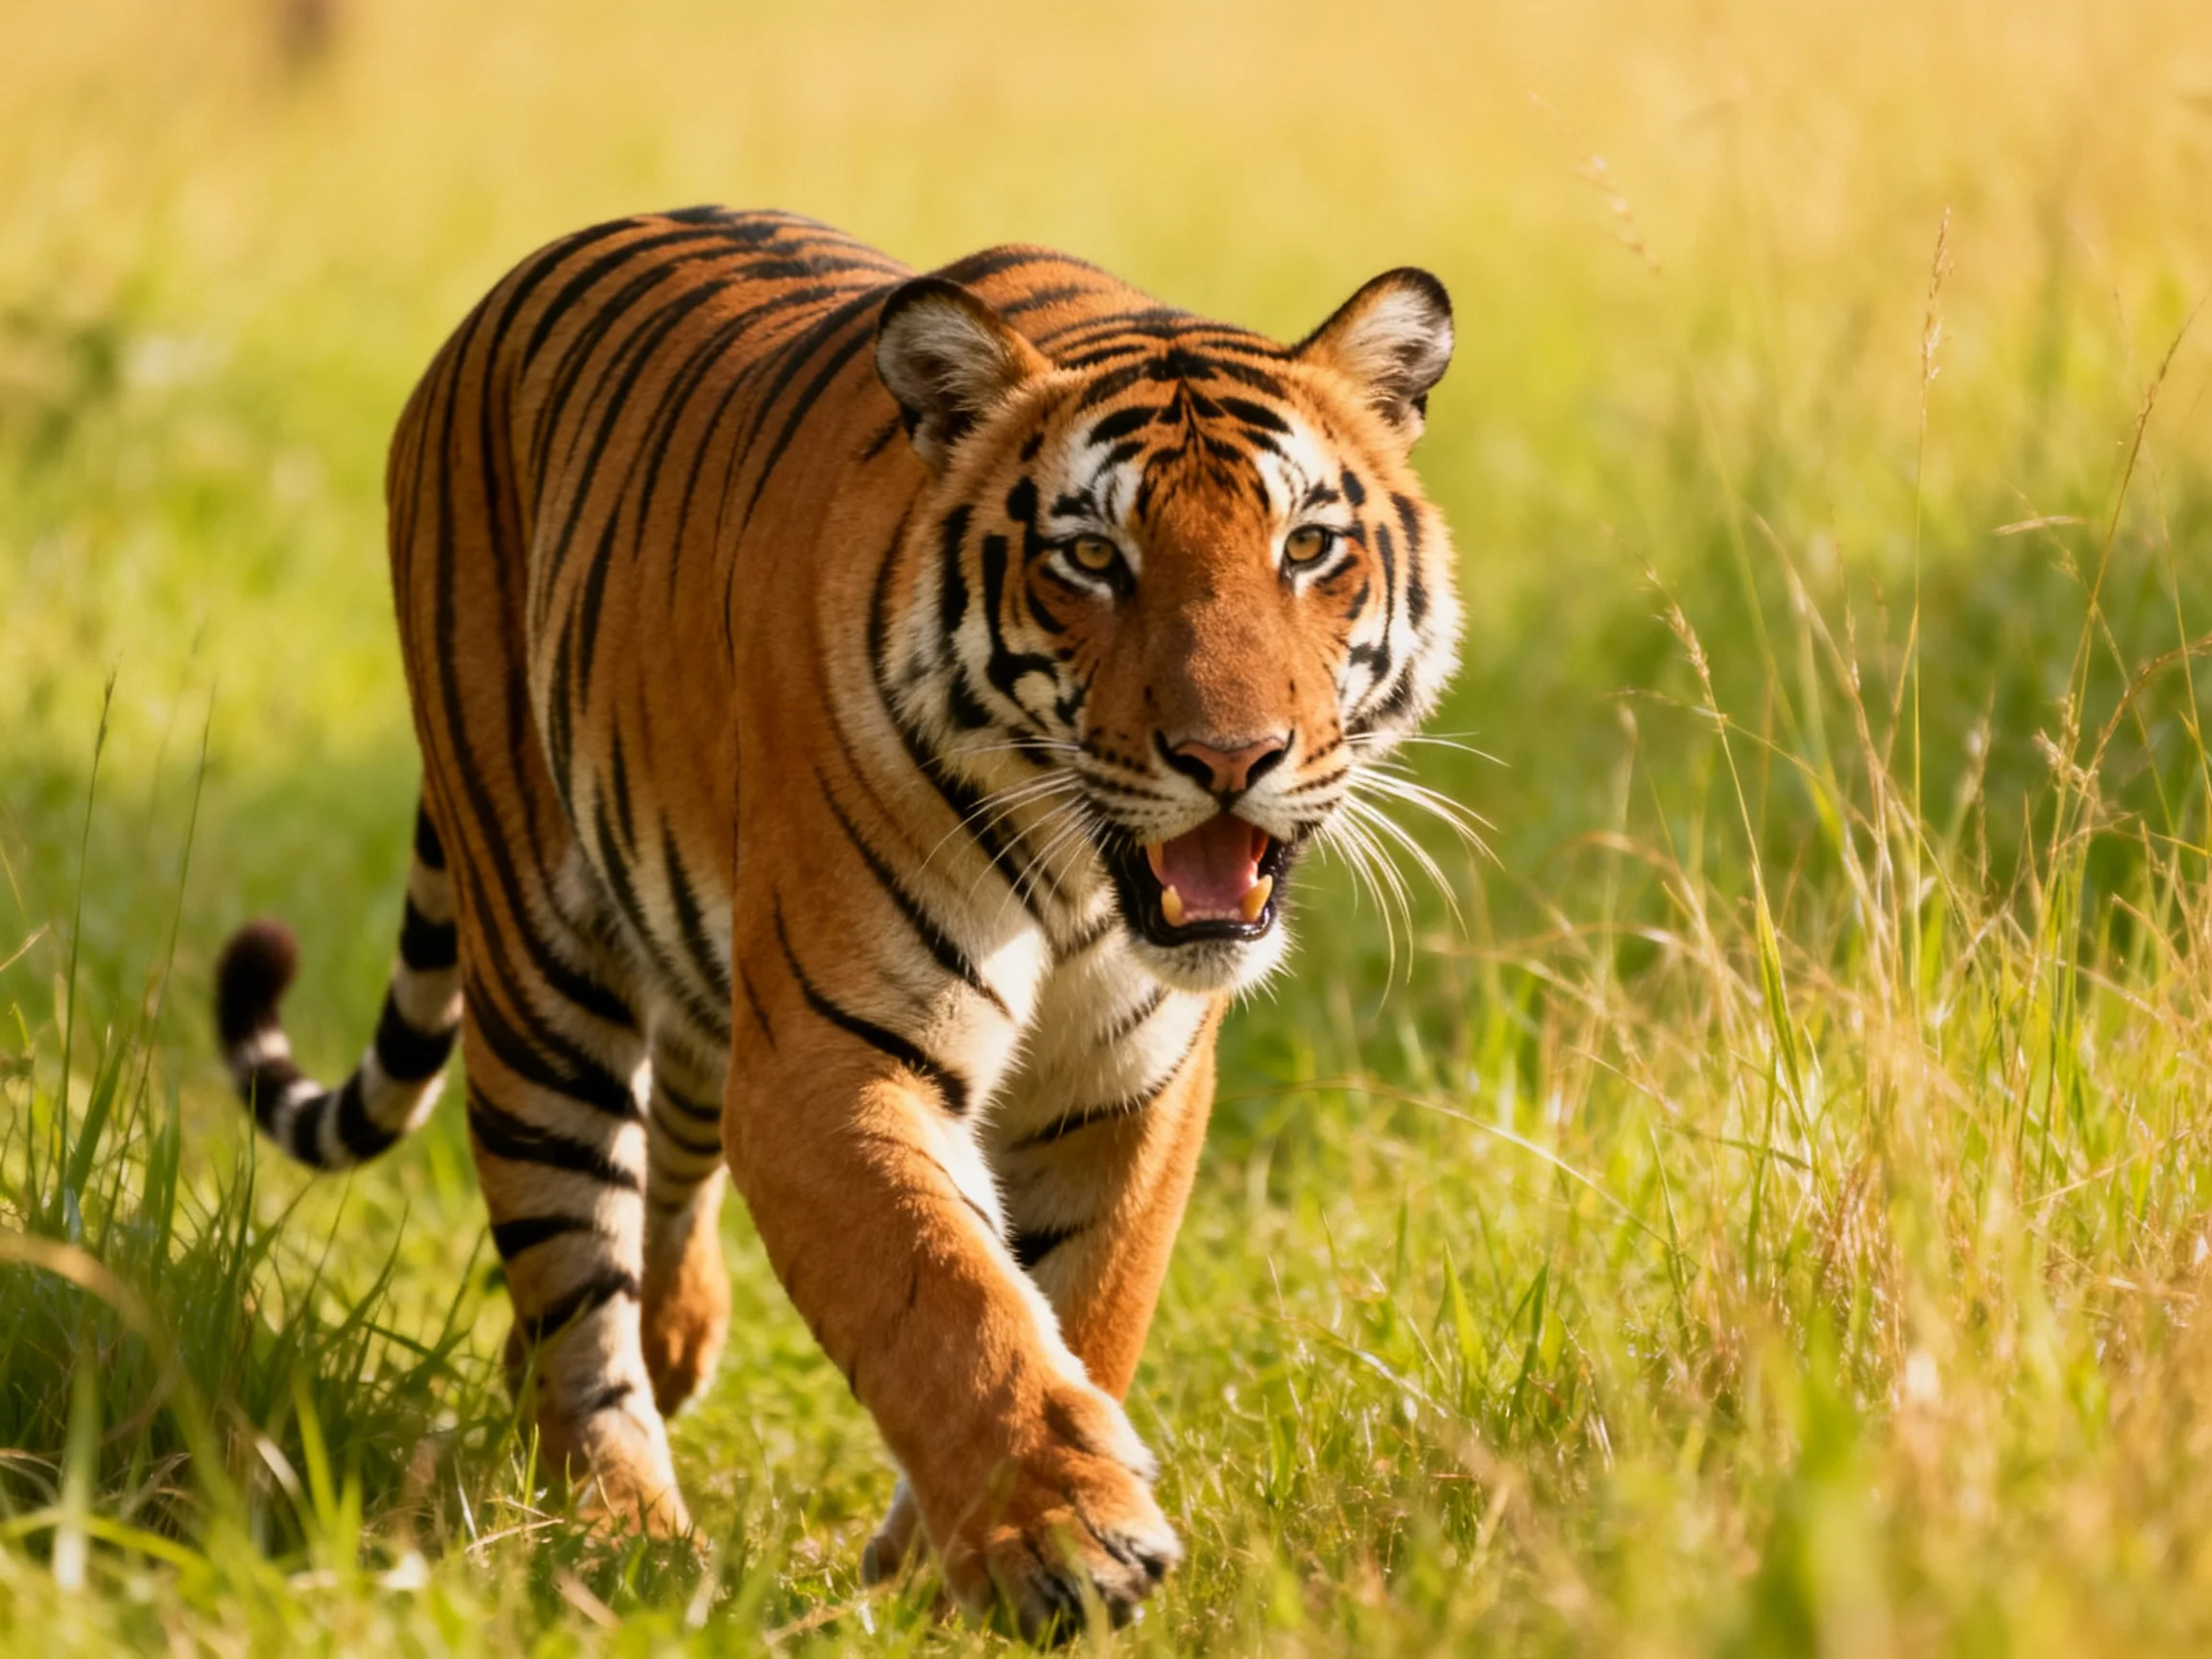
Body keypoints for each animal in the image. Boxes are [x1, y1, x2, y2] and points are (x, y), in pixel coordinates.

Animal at [212, 206, 1460, 1636]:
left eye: (1307, 547)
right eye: (1092, 557)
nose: (1231, 757)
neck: (1082, 888)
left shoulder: (1128, 1088)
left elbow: (1081, 1306)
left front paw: (940, 1565)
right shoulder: (830, 1058)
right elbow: (950, 1302)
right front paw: (1063, 1538)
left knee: (669, 1149)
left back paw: (670, 1347)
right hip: (536, 958)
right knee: (572, 1271)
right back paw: (620, 1528)